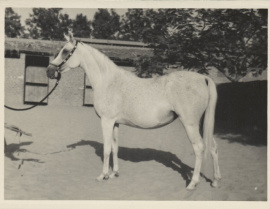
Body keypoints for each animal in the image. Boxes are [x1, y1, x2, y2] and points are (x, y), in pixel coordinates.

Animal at [47, 31, 221, 191]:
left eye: (65, 51)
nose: (49, 71)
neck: (108, 81)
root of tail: (203, 78)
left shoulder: (106, 121)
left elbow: (106, 149)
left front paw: (102, 175)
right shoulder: (115, 123)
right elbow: (115, 147)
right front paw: (114, 173)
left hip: (190, 123)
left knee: (199, 147)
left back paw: (193, 183)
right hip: (201, 123)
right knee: (212, 147)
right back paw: (215, 181)